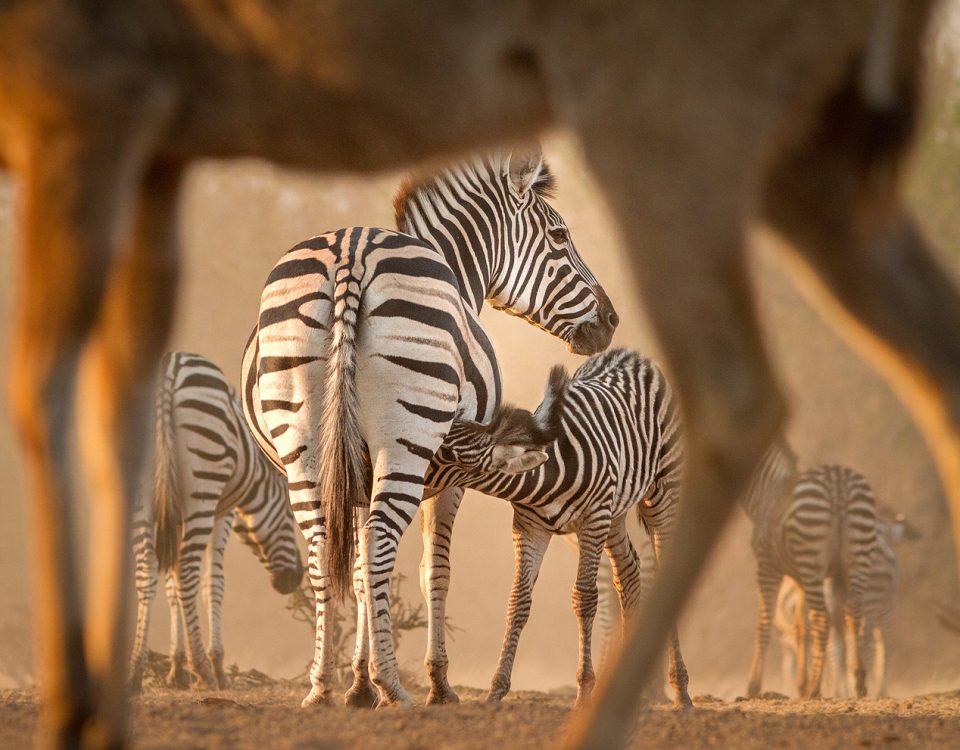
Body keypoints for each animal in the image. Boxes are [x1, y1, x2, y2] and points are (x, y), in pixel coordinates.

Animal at [128, 352, 304, 692]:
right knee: (188, 570)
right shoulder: (224, 511)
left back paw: (134, 673)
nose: (294, 579)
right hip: (203, 486)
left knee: (147, 570)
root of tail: (167, 374)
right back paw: (205, 670)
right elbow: (213, 583)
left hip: (142, 493)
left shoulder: (172, 514)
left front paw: (176, 669)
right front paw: (215, 666)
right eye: (290, 515)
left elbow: (171, 583)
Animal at [240, 145, 617, 708]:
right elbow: (433, 572)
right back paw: (395, 688)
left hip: (303, 446)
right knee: (381, 542)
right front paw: (435, 682)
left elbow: (358, 570)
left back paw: (323, 686)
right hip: (407, 445)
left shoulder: (354, 474)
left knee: (323, 546)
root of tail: (352, 250)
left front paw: (358, 682)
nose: (612, 321)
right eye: (558, 236)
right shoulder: (454, 475)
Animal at [428, 349, 693, 708]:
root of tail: (632, 355)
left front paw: (583, 691)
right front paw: (496, 690)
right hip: (616, 512)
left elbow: (584, 598)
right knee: (628, 575)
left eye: (450, 454)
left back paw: (680, 689)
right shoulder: (529, 529)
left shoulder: (593, 520)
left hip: (661, 493)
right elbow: (518, 601)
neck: (546, 475)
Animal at [744, 458, 879, 699]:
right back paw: (858, 682)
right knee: (854, 611)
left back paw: (814, 688)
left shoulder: (767, 564)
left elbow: (764, 623)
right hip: (858, 556)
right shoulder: (804, 577)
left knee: (823, 618)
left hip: (812, 559)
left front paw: (753, 686)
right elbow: (802, 627)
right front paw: (800, 682)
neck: (767, 490)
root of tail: (837, 482)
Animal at [775, 507, 919, 698]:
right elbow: (883, 646)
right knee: (862, 644)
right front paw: (880, 692)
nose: (917, 534)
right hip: (868, 603)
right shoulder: (886, 609)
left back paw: (830, 690)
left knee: (829, 648)